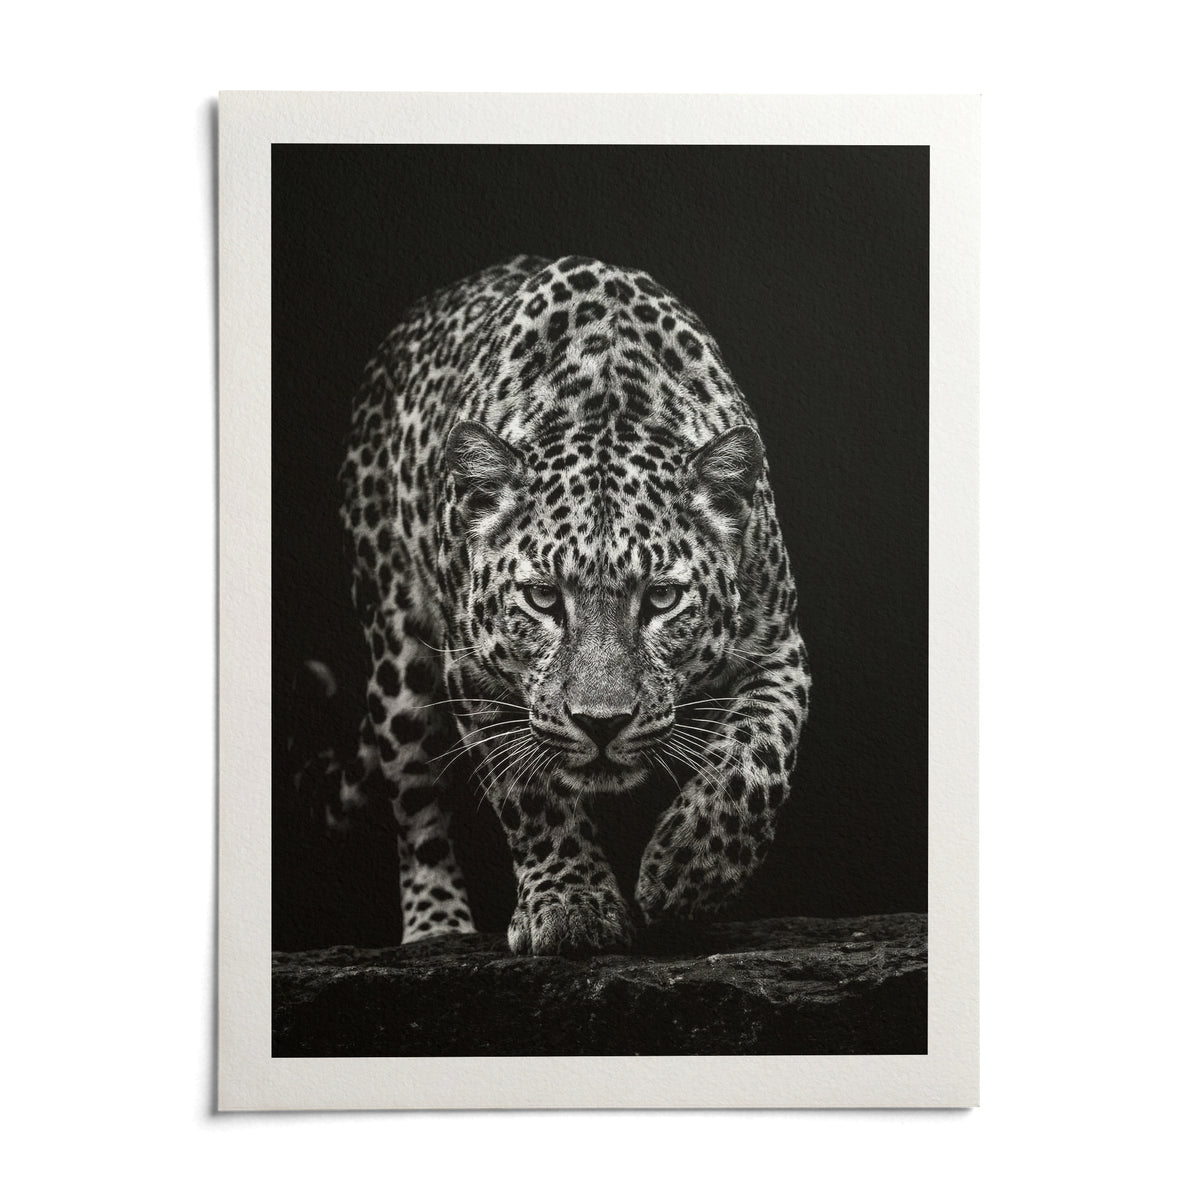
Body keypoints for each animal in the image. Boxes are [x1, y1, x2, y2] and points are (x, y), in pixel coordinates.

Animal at [332, 254, 811, 956]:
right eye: (542, 598)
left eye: (661, 597)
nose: (600, 724)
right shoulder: (473, 671)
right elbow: (530, 795)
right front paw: (571, 903)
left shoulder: (778, 647)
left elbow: (757, 758)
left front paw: (686, 870)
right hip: (396, 656)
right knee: (416, 805)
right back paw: (434, 928)